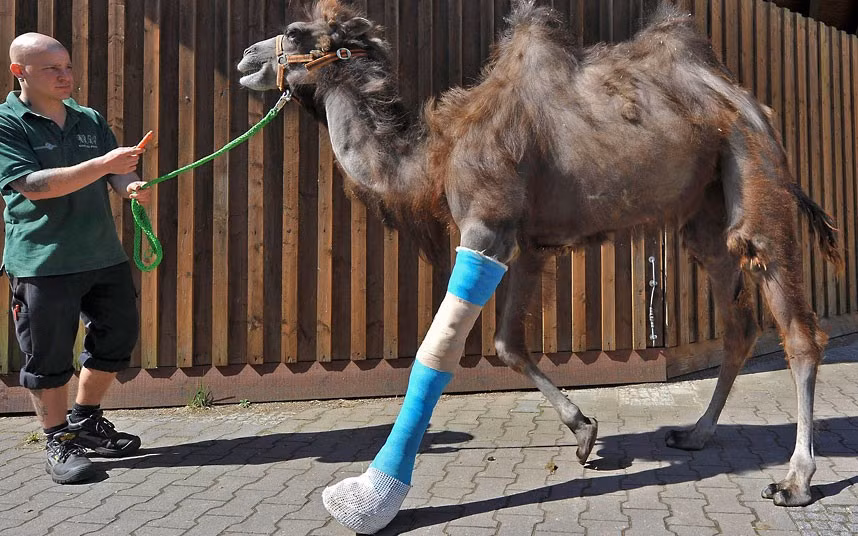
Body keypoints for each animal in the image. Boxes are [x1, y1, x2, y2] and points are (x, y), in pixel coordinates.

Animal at [237, 0, 841, 530]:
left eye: (293, 32)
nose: (246, 58)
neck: (434, 159)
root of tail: (748, 101)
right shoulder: (525, 244)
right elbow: (508, 343)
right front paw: (584, 430)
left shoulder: (486, 226)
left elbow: (437, 352)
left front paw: (369, 497)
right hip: (706, 211)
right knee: (739, 323)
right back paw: (696, 433)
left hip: (752, 164)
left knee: (796, 327)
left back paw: (795, 480)